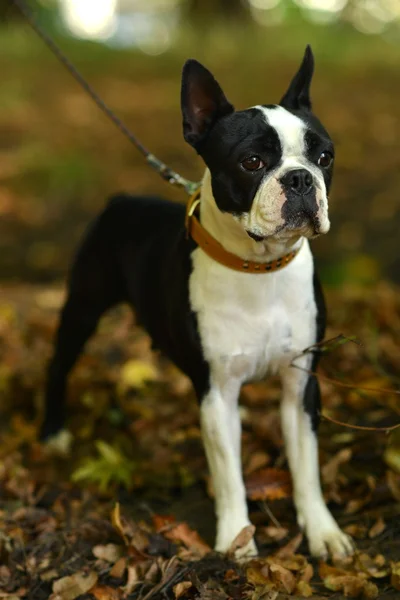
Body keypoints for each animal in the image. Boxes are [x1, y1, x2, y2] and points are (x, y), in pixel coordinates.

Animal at [41, 47, 354, 564]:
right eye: (251, 161)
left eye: (324, 157)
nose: (300, 179)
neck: (259, 269)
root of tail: (122, 199)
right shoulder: (215, 393)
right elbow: (229, 476)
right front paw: (236, 539)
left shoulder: (300, 384)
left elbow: (306, 466)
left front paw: (322, 531)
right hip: (83, 306)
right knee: (59, 363)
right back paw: (52, 432)